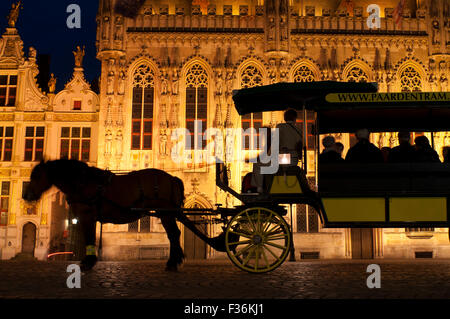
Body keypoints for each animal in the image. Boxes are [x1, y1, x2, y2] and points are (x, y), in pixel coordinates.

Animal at [22, 160, 227, 272]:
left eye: (37, 176)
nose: (27, 195)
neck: (84, 182)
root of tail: (172, 177)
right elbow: (89, 238)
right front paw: (89, 261)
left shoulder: (87, 215)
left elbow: (89, 237)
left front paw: (88, 262)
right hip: (167, 213)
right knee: (174, 235)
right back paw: (174, 262)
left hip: (165, 213)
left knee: (174, 235)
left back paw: (173, 262)